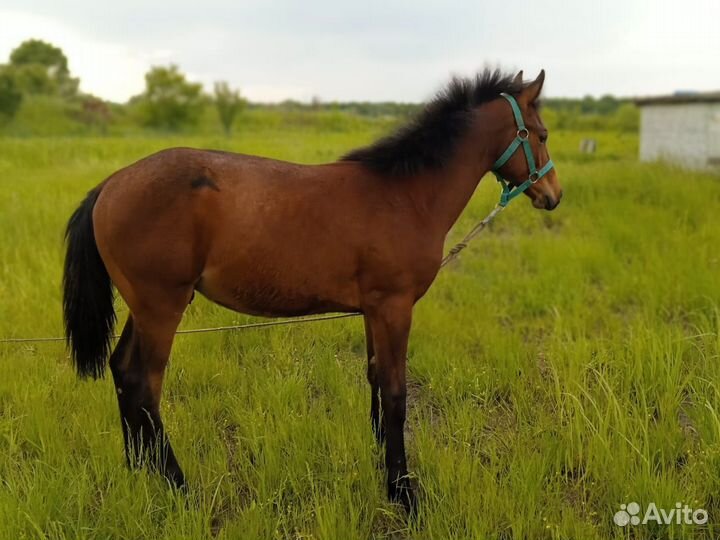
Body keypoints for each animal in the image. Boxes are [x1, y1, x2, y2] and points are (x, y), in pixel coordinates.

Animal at [63, 68, 561, 514]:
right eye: (541, 133)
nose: (553, 195)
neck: (405, 195)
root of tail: (110, 185)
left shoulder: (373, 311)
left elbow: (376, 381)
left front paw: (381, 466)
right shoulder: (395, 308)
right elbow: (397, 394)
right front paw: (403, 492)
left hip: (145, 308)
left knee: (122, 370)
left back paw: (137, 468)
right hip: (161, 309)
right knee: (144, 386)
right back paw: (179, 486)